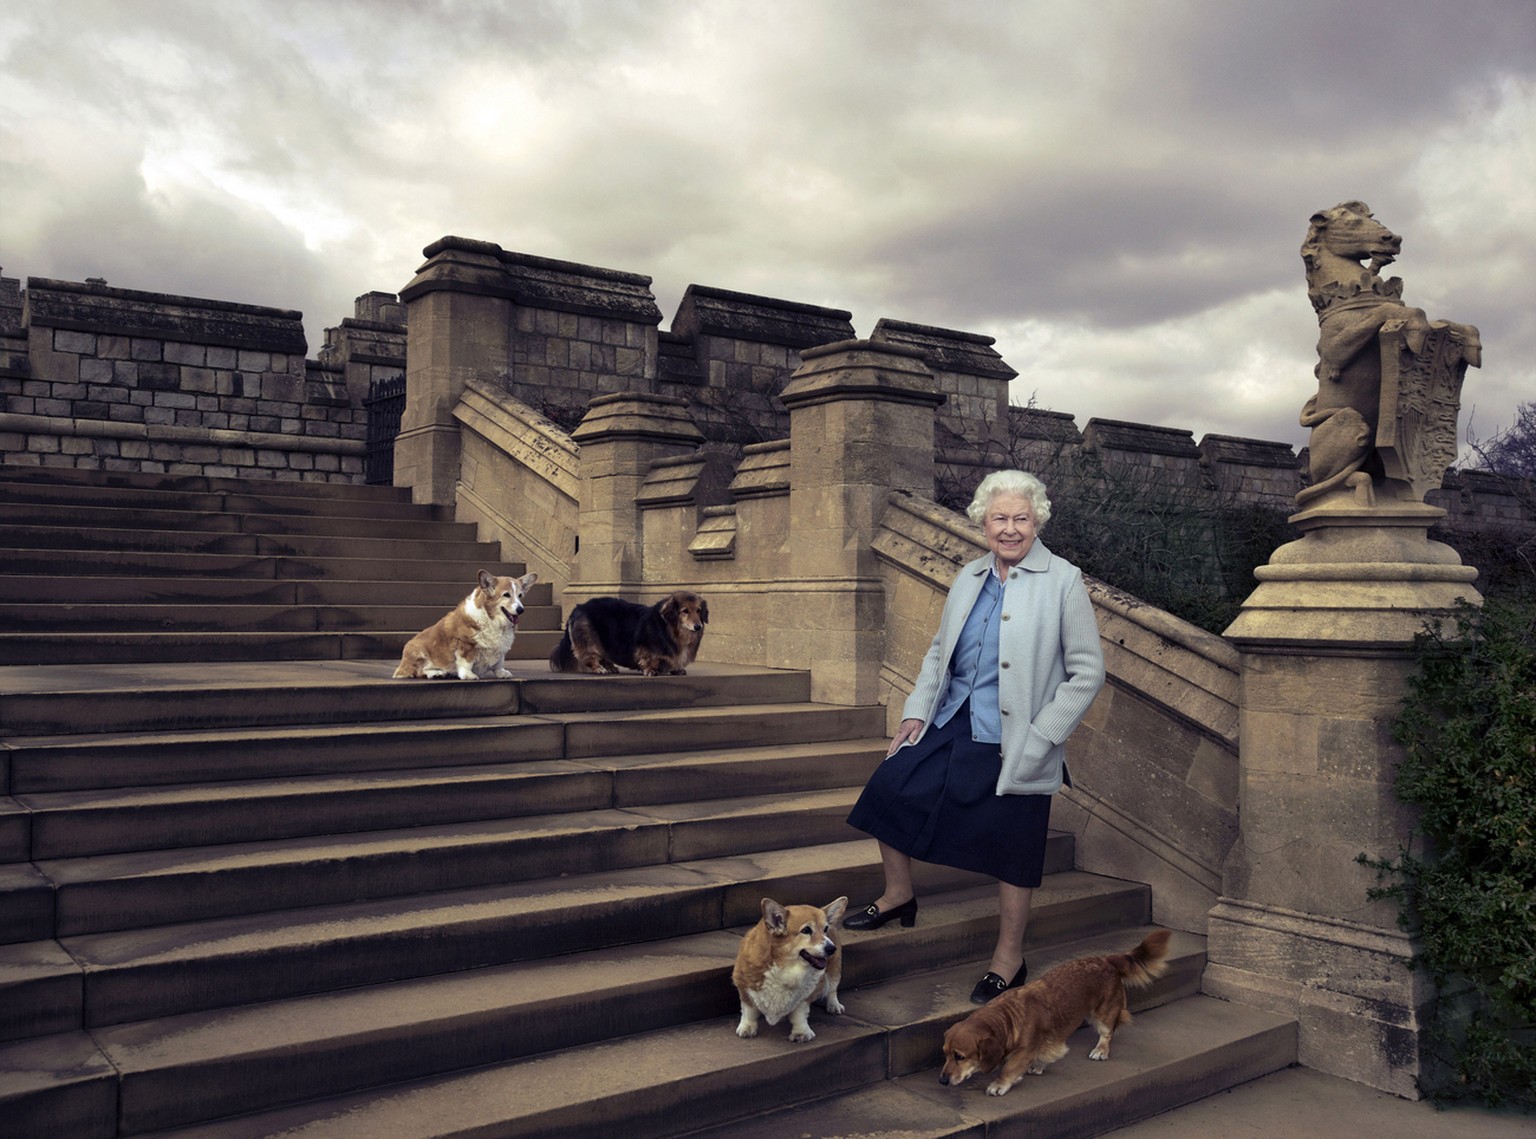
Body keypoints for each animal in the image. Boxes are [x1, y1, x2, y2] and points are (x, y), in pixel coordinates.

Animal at [549, 589, 709, 678]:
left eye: (698, 610)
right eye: (685, 611)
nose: (698, 626)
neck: (672, 629)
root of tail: (579, 608)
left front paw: (677, 669)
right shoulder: (645, 648)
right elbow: (649, 659)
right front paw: (651, 670)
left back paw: (610, 667)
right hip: (589, 640)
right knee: (590, 656)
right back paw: (599, 668)